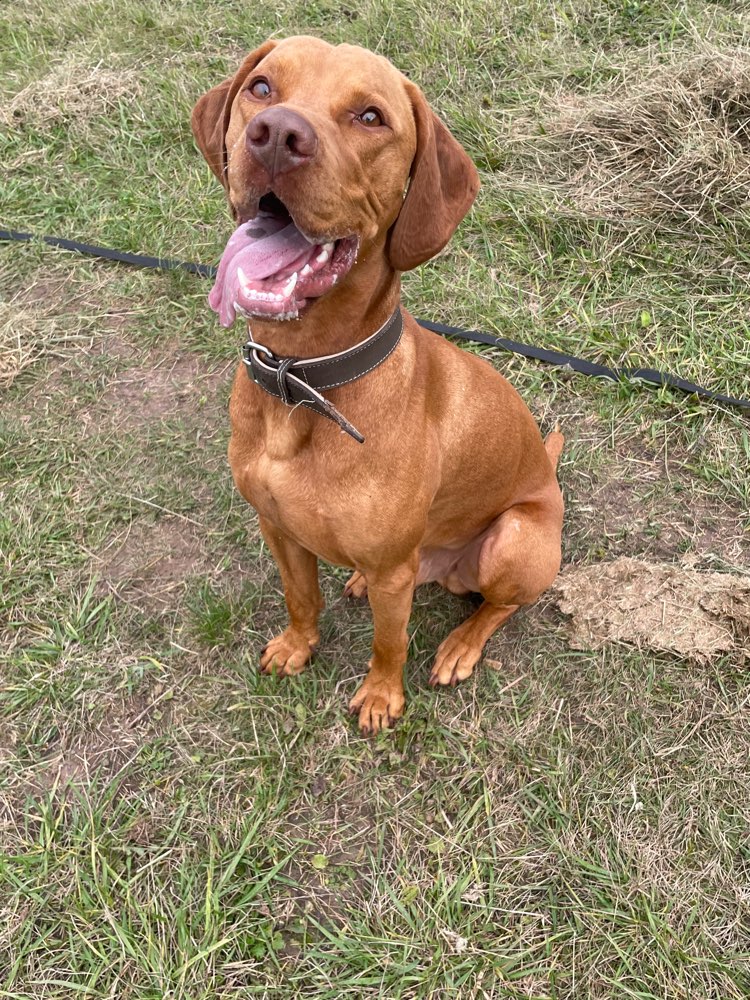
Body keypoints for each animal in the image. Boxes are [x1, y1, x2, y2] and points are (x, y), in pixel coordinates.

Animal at [194, 37, 564, 736]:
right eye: (262, 87)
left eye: (370, 117)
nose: (275, 135)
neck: (301, 381)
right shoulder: (278, 529)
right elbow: (300, 597)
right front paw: (297, 645)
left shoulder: (396, 569)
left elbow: (388, 642)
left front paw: (380, 697)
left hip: (513, 542)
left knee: (497, 606)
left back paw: (461, 644)